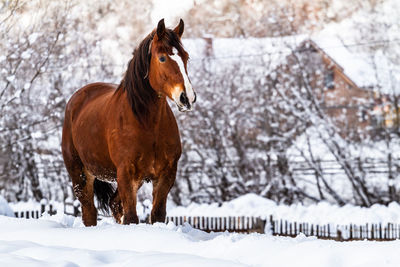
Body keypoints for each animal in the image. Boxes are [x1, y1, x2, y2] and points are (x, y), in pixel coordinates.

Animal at [60, 18, 195, 227]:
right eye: (162, 58)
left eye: (186, 57)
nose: (186, 97)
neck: (147, 124)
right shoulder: (126, 173)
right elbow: (131, 217)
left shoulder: (166, 174)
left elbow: (157, 214)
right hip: (80, 174)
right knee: (89, 210)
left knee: (115, 204)